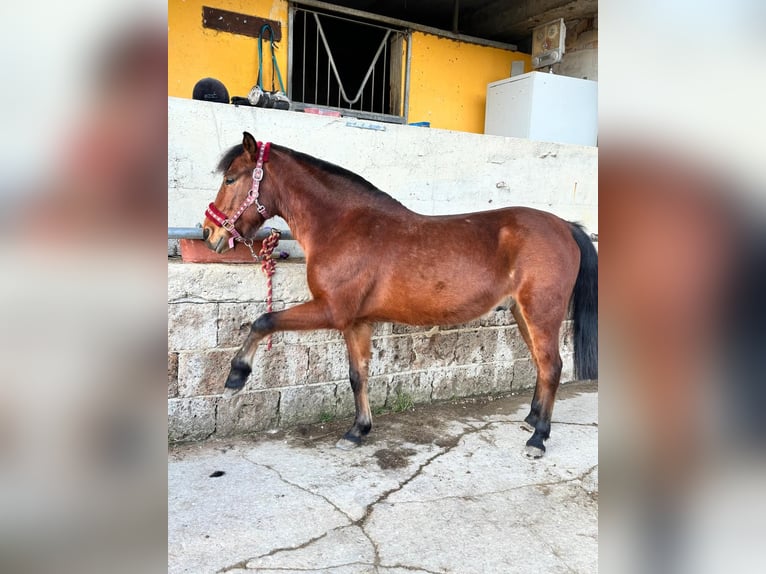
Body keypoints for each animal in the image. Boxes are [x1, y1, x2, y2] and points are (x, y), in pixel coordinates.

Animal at [201, 132, 596, 460]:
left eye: (230, 178)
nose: (208, 233)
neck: (342, 225)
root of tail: (565, 226)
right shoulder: (357, 322)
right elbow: (357, 374)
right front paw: (358, 430)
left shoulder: (332, 311)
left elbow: (264, 321)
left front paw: (236, 377)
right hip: (521, 313)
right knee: (540, 365)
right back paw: (531, 419)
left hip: (541, 313)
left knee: (552, 366)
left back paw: (538, 438)